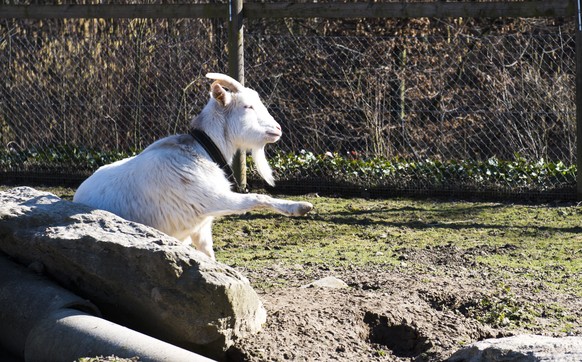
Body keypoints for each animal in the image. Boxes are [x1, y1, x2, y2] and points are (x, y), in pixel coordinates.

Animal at [76, 73, 314, 260]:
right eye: (247, 106)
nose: (278, 129)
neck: (201, 151)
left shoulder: (201, 227)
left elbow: (208, 255)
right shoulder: (210, 199)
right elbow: (258, 197)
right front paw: (301, 207)